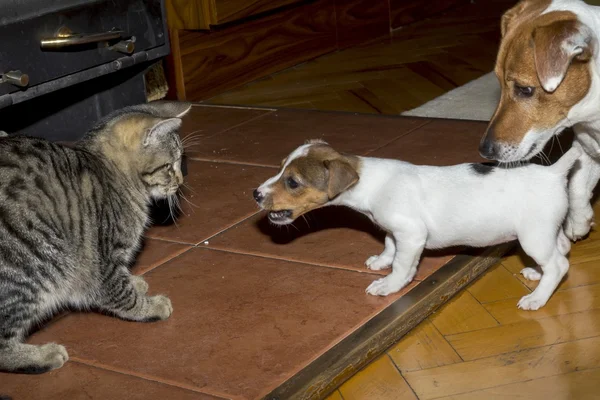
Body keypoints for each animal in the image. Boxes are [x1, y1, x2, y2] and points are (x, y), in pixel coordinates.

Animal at [0, 101, 190, 376]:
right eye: (169, 166)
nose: (181, 180)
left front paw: (135, 282)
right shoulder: (103, 260)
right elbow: (121, 293)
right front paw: (148, 306)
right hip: (39, 265)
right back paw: (42, 356)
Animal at [480, 0, 600, 241]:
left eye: (525, 89)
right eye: (498, 82)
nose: (484, 150)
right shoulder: (587, 147)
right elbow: (576, 185)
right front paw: (578, 221)